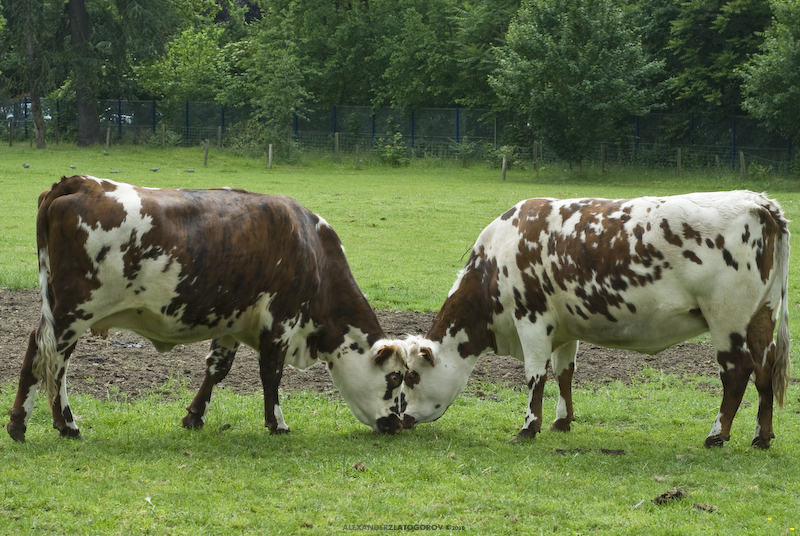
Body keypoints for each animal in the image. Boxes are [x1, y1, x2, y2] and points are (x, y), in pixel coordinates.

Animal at [7, 175, 408, 442]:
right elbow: (271, 374)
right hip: (74, 311)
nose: (398, 423)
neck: (311, 248)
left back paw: (40, 425)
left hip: (63, 311)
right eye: (395, 378)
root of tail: (78, 183)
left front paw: (195, 417)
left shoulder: (232, 322)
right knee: (47, 357)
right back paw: (46, 424)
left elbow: (218, 369)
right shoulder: (281, 321)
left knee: (45, 357)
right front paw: (277, 423)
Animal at [401, 191, 791, 449]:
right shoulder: (564, 328)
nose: (400, 419)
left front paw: (529, 427)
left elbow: (535, 377)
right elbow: (564, 373)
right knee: (765, 371)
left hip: (727, 319)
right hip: (762, 315)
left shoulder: (531, 319)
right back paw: (762, 436)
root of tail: (759, 202)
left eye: (411, 376)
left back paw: (716, 435)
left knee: (737, 373)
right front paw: (562, 420)